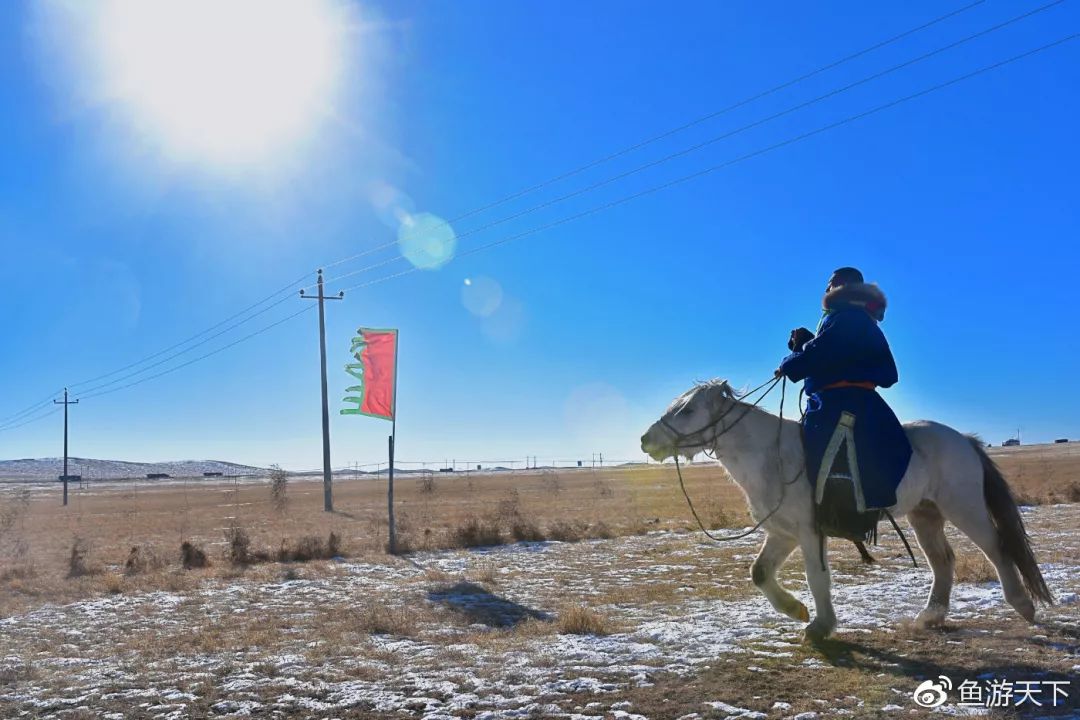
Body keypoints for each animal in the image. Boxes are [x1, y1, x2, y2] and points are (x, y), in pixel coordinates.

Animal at [635, 379, 1049, 643]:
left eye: (688, 409)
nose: (645, 439)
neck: (772, 455)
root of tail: (963, 439)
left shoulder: (808, 532)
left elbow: (818, 579)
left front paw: (819, 626)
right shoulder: (782, 533)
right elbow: (760, 573)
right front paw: (797, 611)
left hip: (964, 507)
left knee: (996, 548)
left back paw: (1023, 606)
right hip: (925, 515)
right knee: (943, 561)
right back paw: (930, 617)